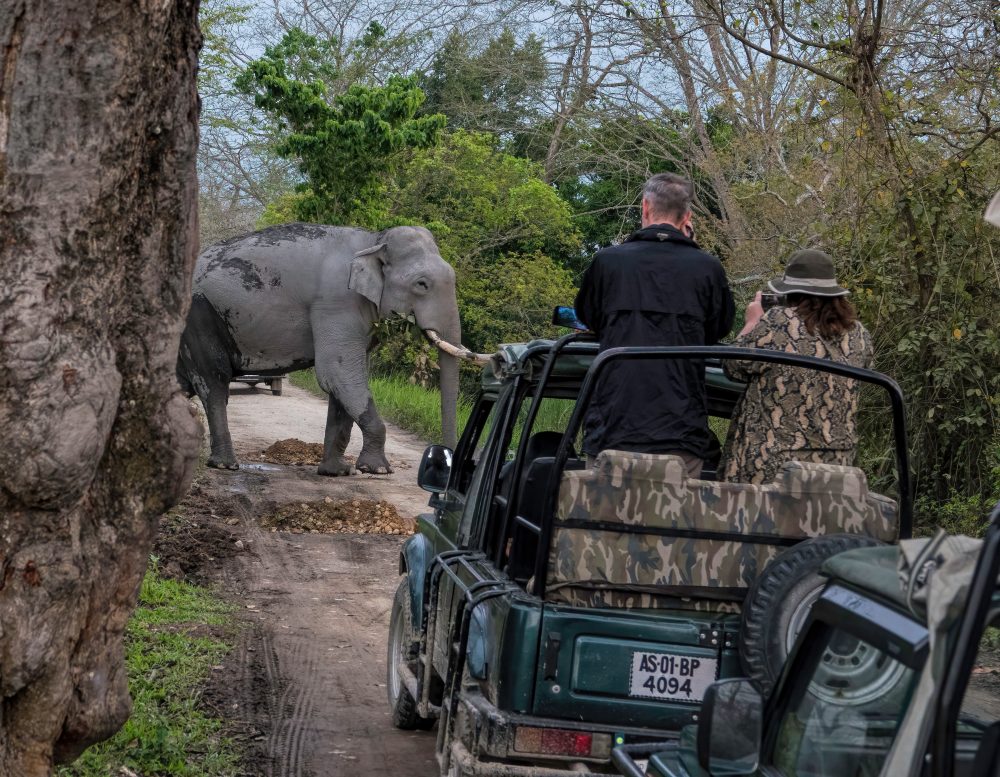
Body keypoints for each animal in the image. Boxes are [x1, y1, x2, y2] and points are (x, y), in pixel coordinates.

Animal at [175, 220, 480, 472]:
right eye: (421, 284)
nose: (444, 464)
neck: (374, 239)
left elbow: (343, 383)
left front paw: (337, 472)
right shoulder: (337, 303)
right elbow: (337, 374)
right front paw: (377, 470)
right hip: (200, 313)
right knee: (214, 380)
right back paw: (225, 465)